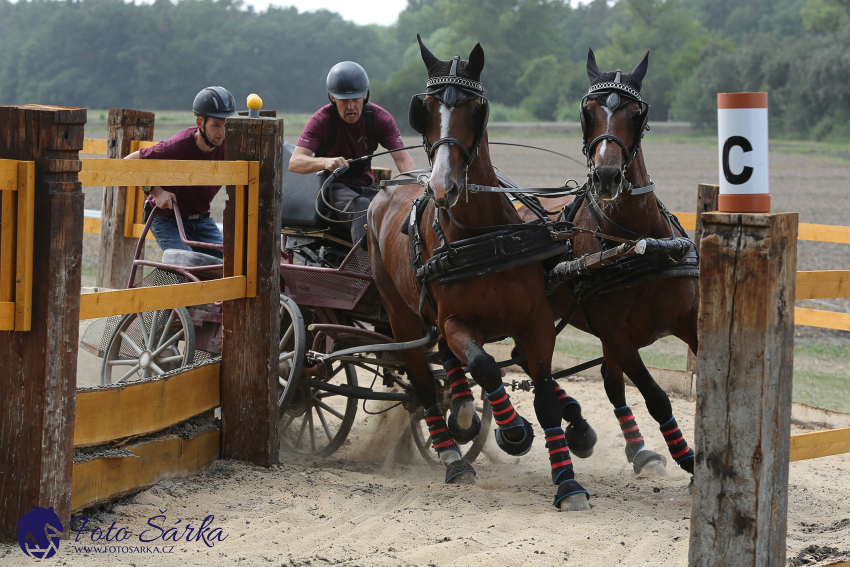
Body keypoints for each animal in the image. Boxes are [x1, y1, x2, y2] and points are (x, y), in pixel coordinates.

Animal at [368, 37, 592, 512]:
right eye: (425, 109)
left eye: (476, 110)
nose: (442, 187)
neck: (484, 239)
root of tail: (387, 188)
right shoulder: (455, 322)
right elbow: (486, 367)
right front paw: (513, 431)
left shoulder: (536, 322)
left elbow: (546, 396)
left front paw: (567, 484)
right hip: (402, 316)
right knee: (423, 386)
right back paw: (454, 456)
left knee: (446, 365)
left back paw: (465, 414)